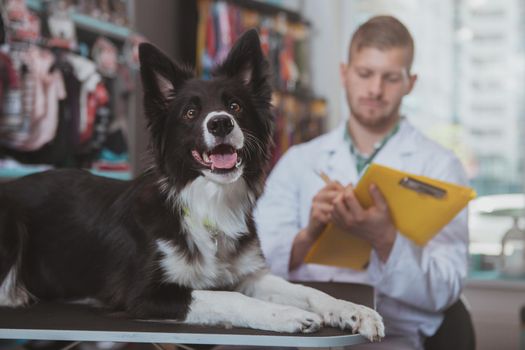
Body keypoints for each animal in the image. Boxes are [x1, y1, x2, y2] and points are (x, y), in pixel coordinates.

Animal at [0, 28, 384, 340]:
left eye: (235, 106)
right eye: (190, 112)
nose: (220, 123)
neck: (208, 202)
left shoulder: (251, 275)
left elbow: (308, 291)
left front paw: (353, 310)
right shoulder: (143, 295)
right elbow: (226, 296)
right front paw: (288, 315)